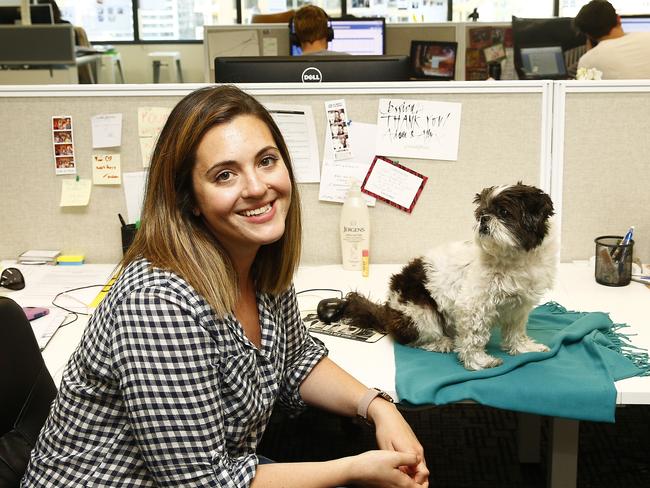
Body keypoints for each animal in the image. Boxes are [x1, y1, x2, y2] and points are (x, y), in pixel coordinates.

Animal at [340, 183, 556, 370]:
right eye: (481, 213)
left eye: (503, 212)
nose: (484, 219)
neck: (513, 261)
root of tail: (388, 310)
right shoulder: (473, 306)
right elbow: (474, 337)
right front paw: (478, 361)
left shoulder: (518, 307)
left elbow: (516, 331)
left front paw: (524, 348)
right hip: (421, 312)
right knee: (413, 339)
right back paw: (441, 342)